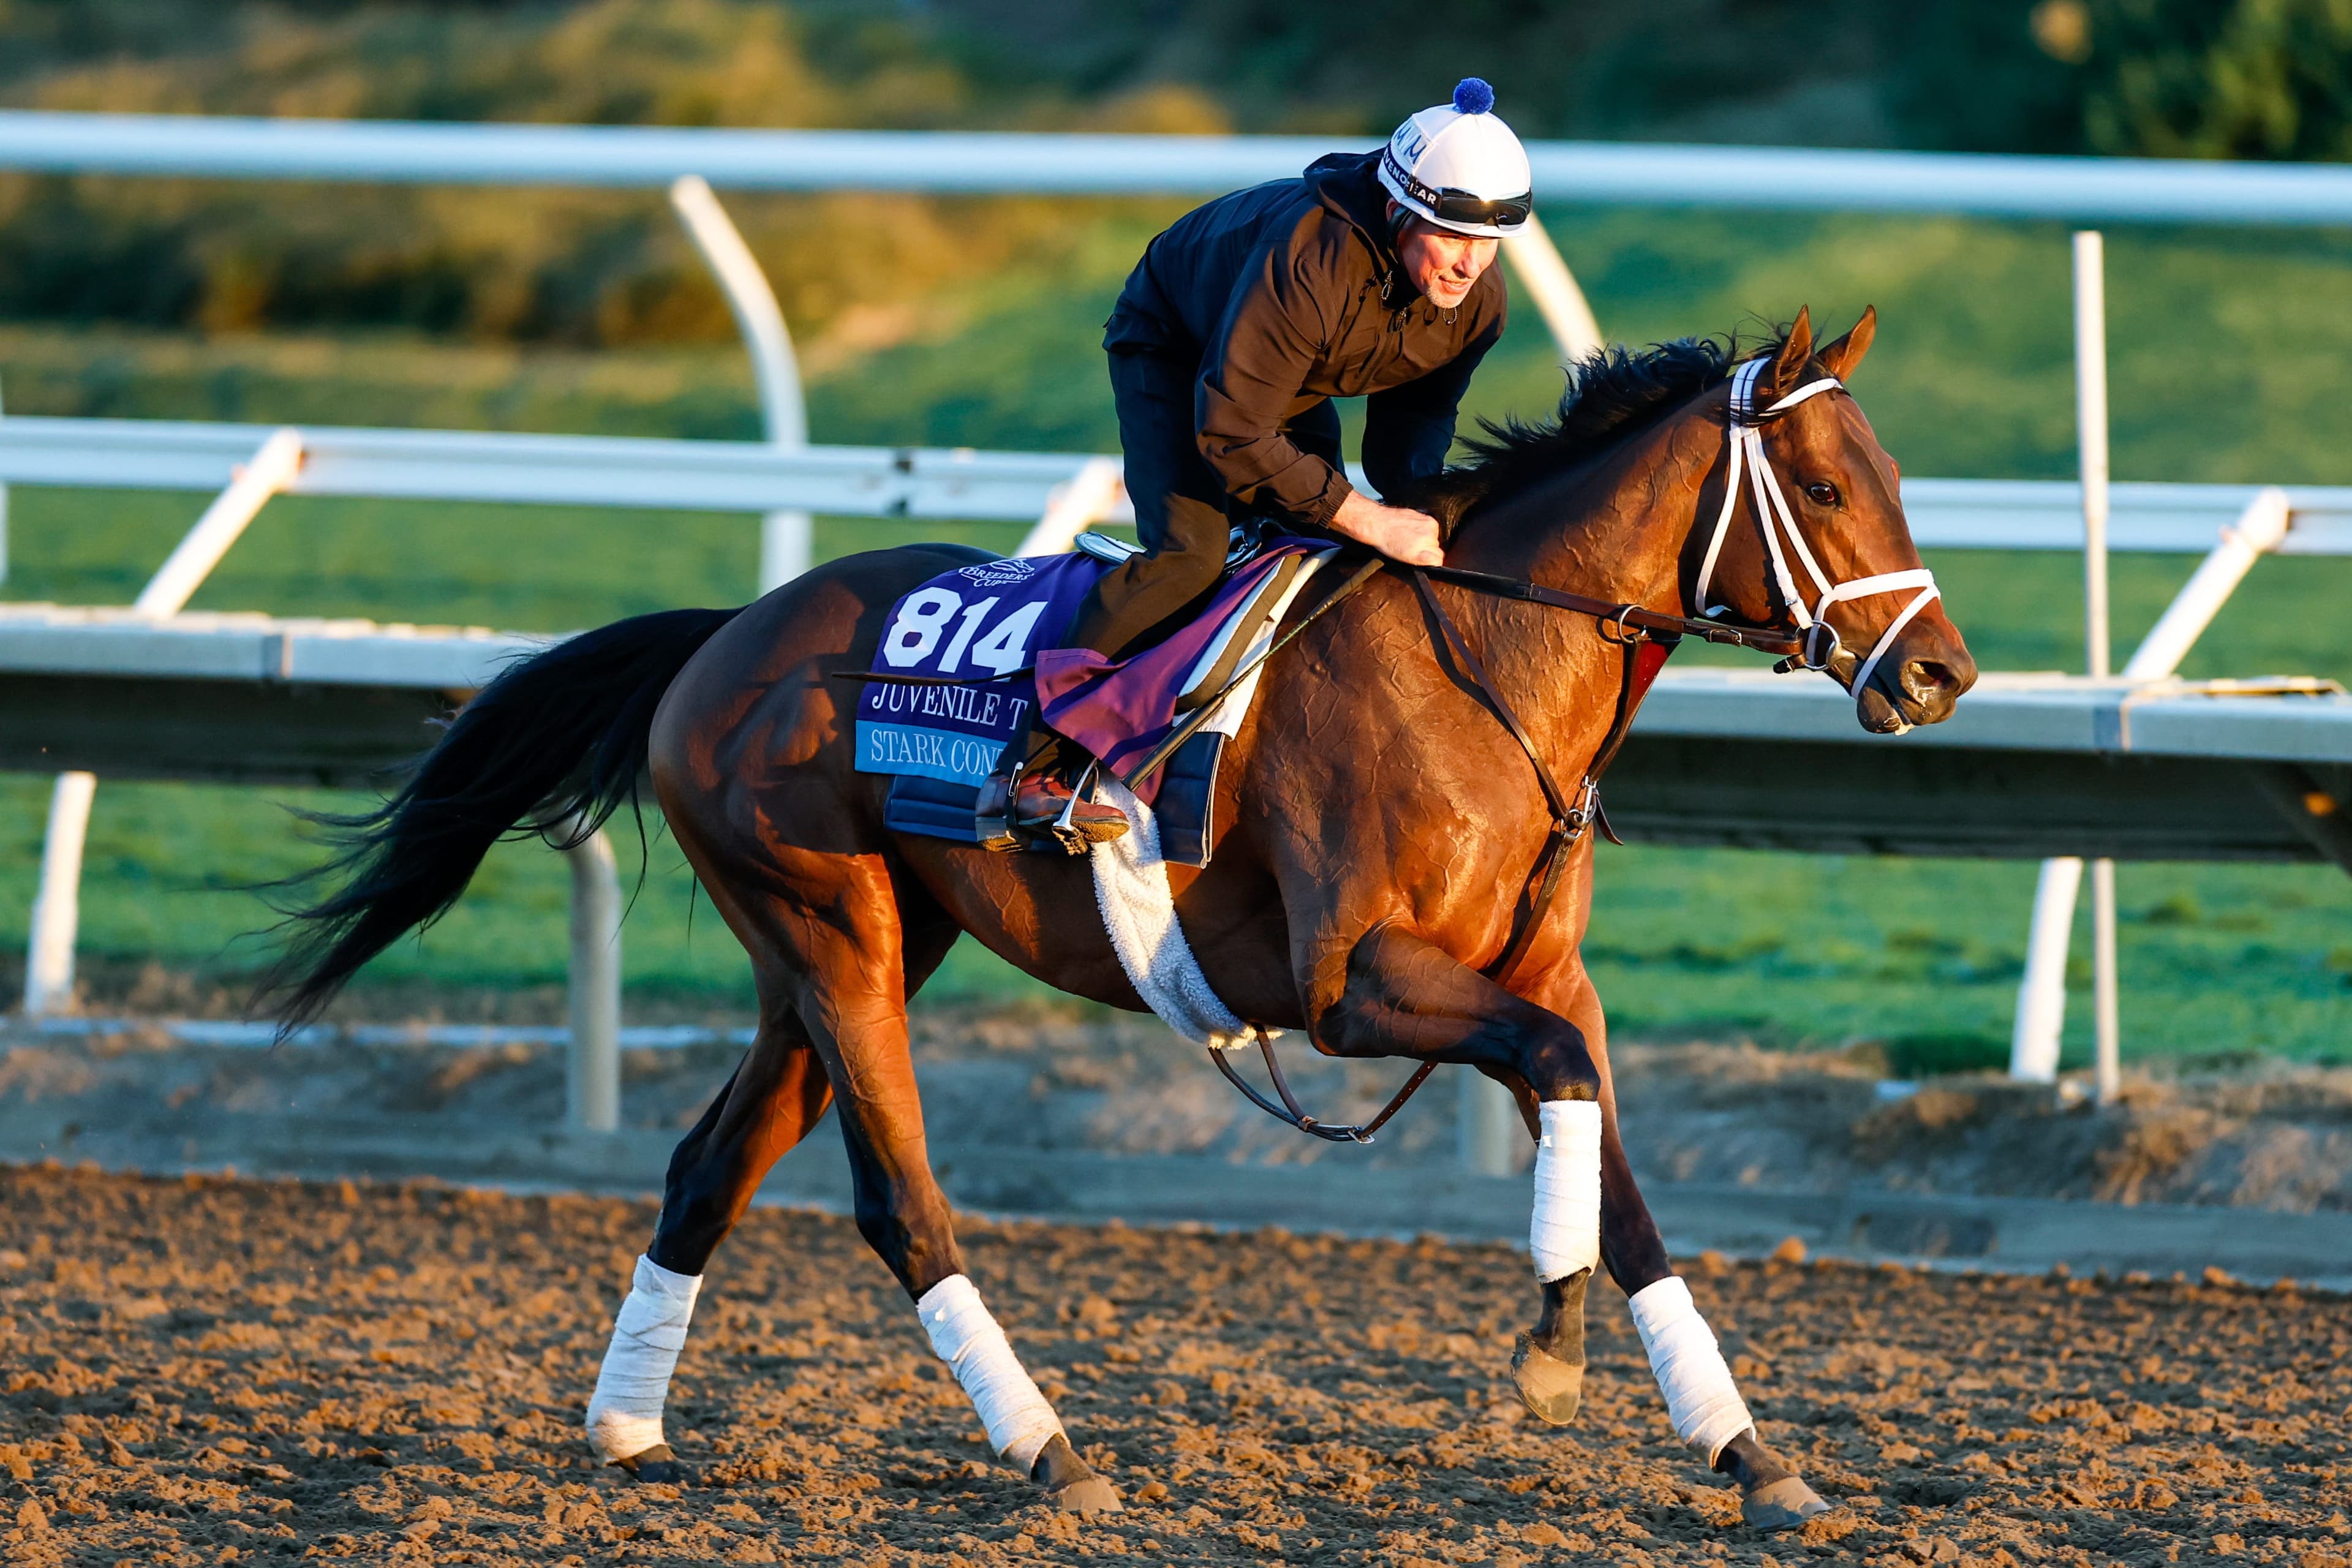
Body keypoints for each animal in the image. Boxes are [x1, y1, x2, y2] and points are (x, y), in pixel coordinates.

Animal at [263, 307, 1975, 1529]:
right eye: (1827, 486)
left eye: (1896, 480)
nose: (1940, 671)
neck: (1483, 666)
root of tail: (727, 631)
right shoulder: (1354, 986)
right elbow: (1556, 1088)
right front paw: (1548, 1354)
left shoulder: (1545, 969)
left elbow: (1615, 1173)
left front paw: (1747, 1450)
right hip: (833, 932)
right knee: (897, 1200)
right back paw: (1046, 1447)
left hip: (833, 952)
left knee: (708, 1166)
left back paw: (628, 1428)